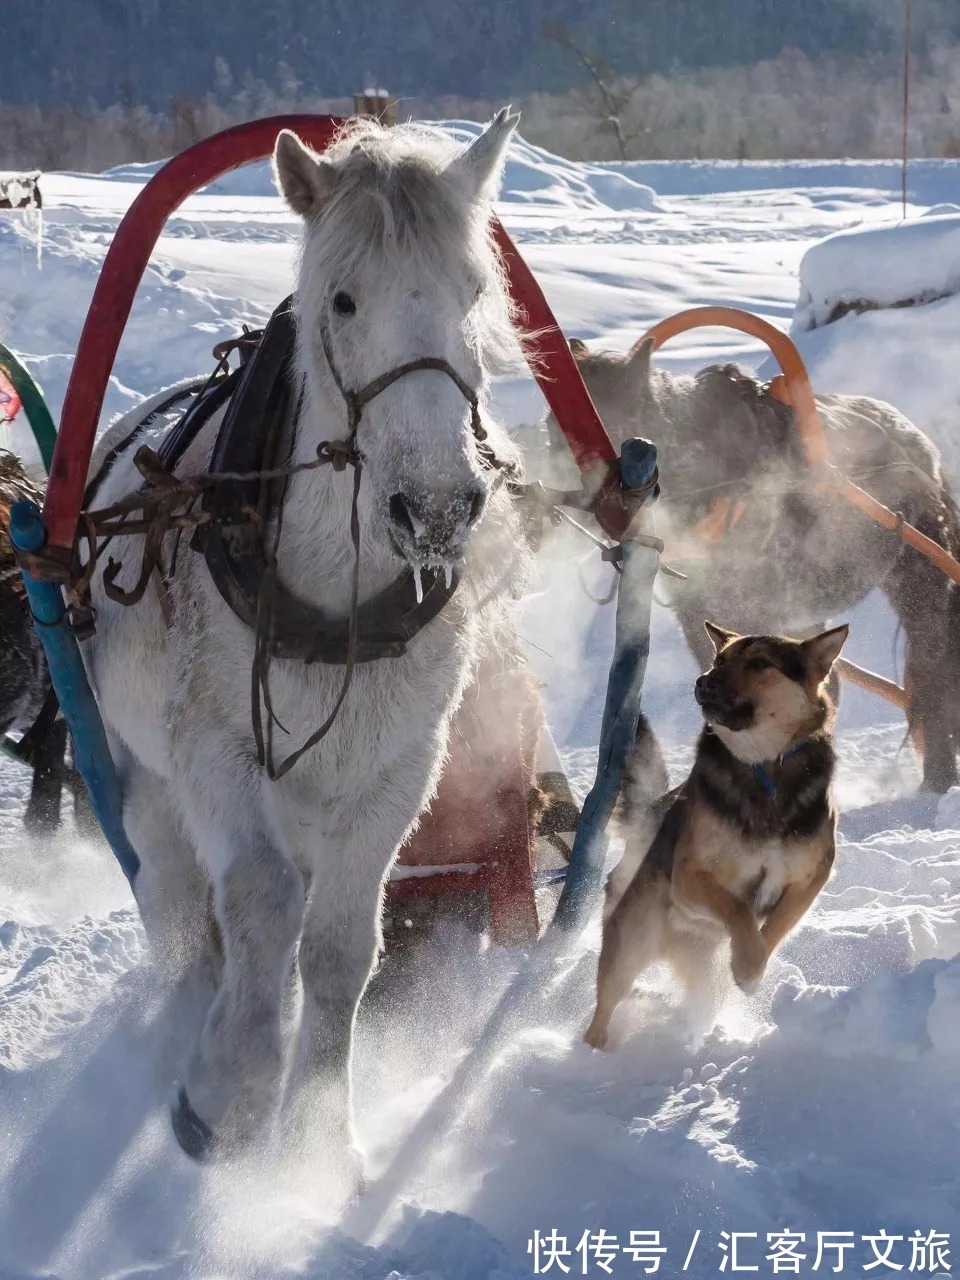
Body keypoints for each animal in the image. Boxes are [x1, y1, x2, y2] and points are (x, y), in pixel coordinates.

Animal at [80, 115, 535, 1172]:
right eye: (343, 298)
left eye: (474, 292)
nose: (437, 507)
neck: (339, 607)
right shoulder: (216, 752)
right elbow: (260, 901)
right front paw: (230, 1092)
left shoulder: (397, 774)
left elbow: (338, 947)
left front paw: (320, 1136)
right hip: (140, 775)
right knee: (178, 903)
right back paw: (196, 1019)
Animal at [586, 619, 849, 1049]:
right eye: (719, 661)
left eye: (760, 664)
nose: (703, 682)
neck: (764, 769)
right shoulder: (689, 876)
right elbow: (737, 907)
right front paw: (747, 963)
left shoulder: (811, 878)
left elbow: (774, 927)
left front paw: (750, 968)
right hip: (628, 947)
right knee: (605, 1005)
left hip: (698, 972)